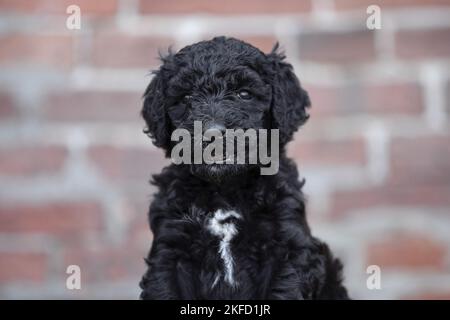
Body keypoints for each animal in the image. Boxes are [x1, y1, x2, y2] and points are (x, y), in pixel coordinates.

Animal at [139, 37, 350, 300]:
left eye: (244, 94)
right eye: (187, 97)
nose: (213, 134)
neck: (225, 190)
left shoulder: (287, 247)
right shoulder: (170, 248)